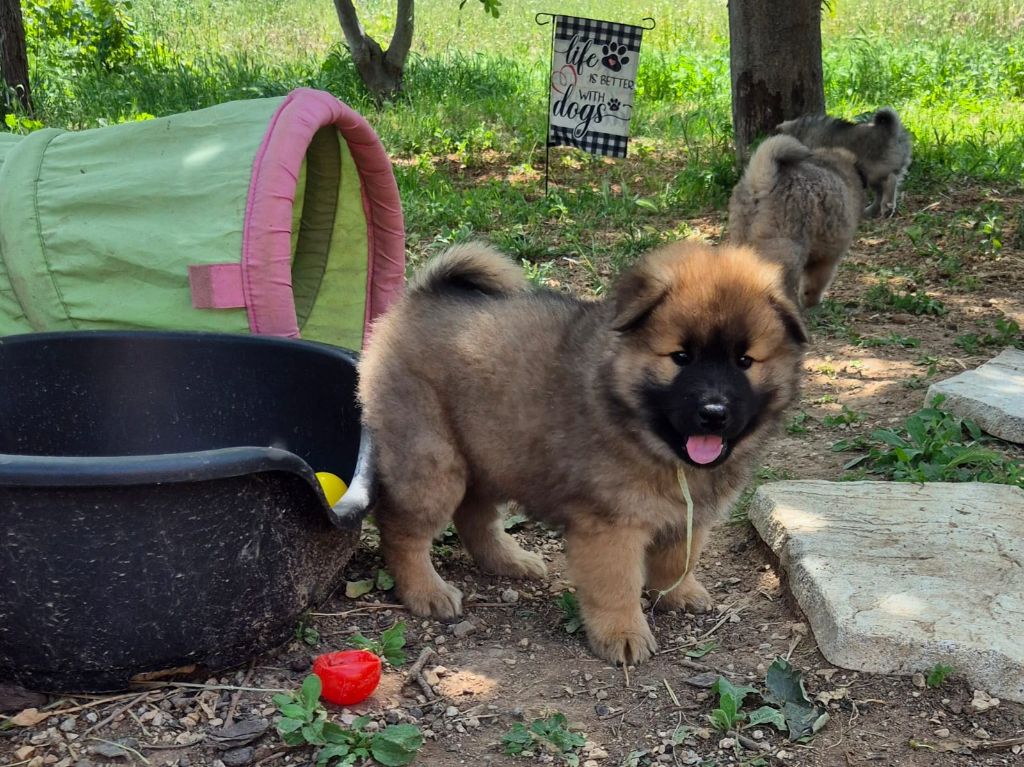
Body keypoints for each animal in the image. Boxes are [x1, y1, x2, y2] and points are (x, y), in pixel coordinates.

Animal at [357, 241, 806, 665]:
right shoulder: (611, 526)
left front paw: (678, 594)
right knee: (403, 530)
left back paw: (510, 561)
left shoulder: (689, 515)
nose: (713, 413)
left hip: (492, 452)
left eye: (744, 361)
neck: (652, 439)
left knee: (475, 517)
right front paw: (623, 634)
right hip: (433, 463)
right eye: (681, 357)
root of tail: (419, 296)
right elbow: (617, 586)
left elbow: (678, 558)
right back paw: (426, 591)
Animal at [776, 107, 912, 217]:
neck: (800, 133)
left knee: (890, 180)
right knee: (880, 193)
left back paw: (887, 206)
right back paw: (871, 211)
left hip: (873, 171)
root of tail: (892, 131)